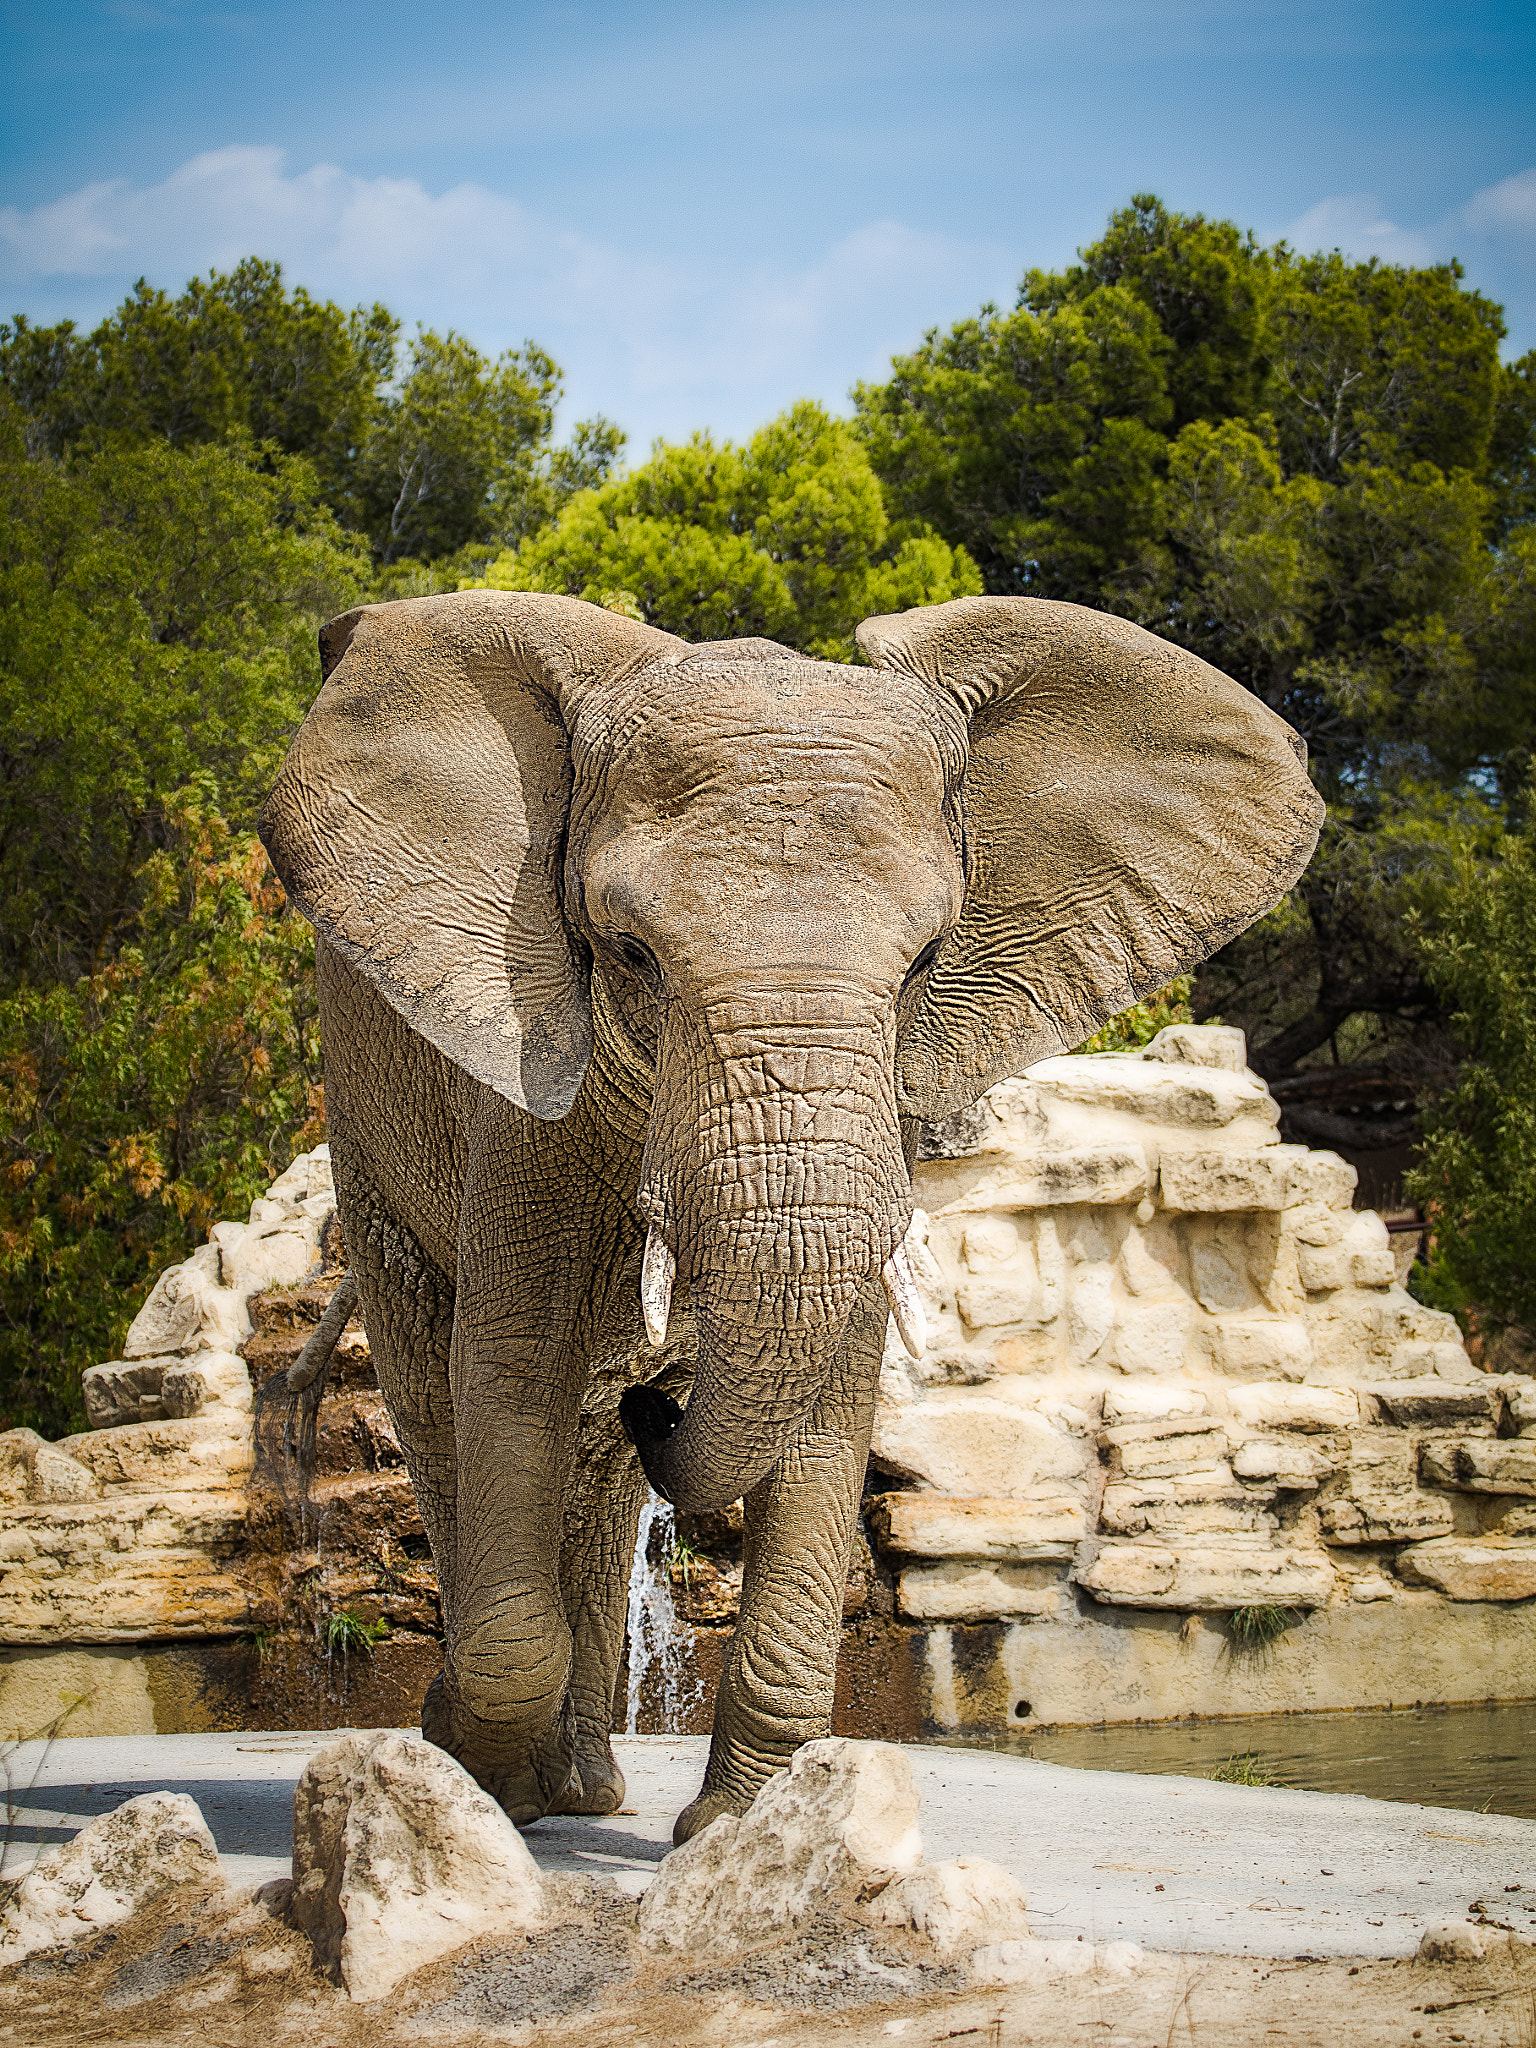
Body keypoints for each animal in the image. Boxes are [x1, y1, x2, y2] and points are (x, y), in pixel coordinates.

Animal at [259, 589, 1327, 1843]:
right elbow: (513, 1359)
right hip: (368, 1120)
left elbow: (833, 1385)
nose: (662, 1402)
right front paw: (472, 1776)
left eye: (926, 959)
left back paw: (586, 1784)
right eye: (629, 953)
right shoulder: (524, 1078)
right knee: (441, 1391)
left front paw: (743, 1833)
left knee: (595, 1459)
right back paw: (518, 1776)